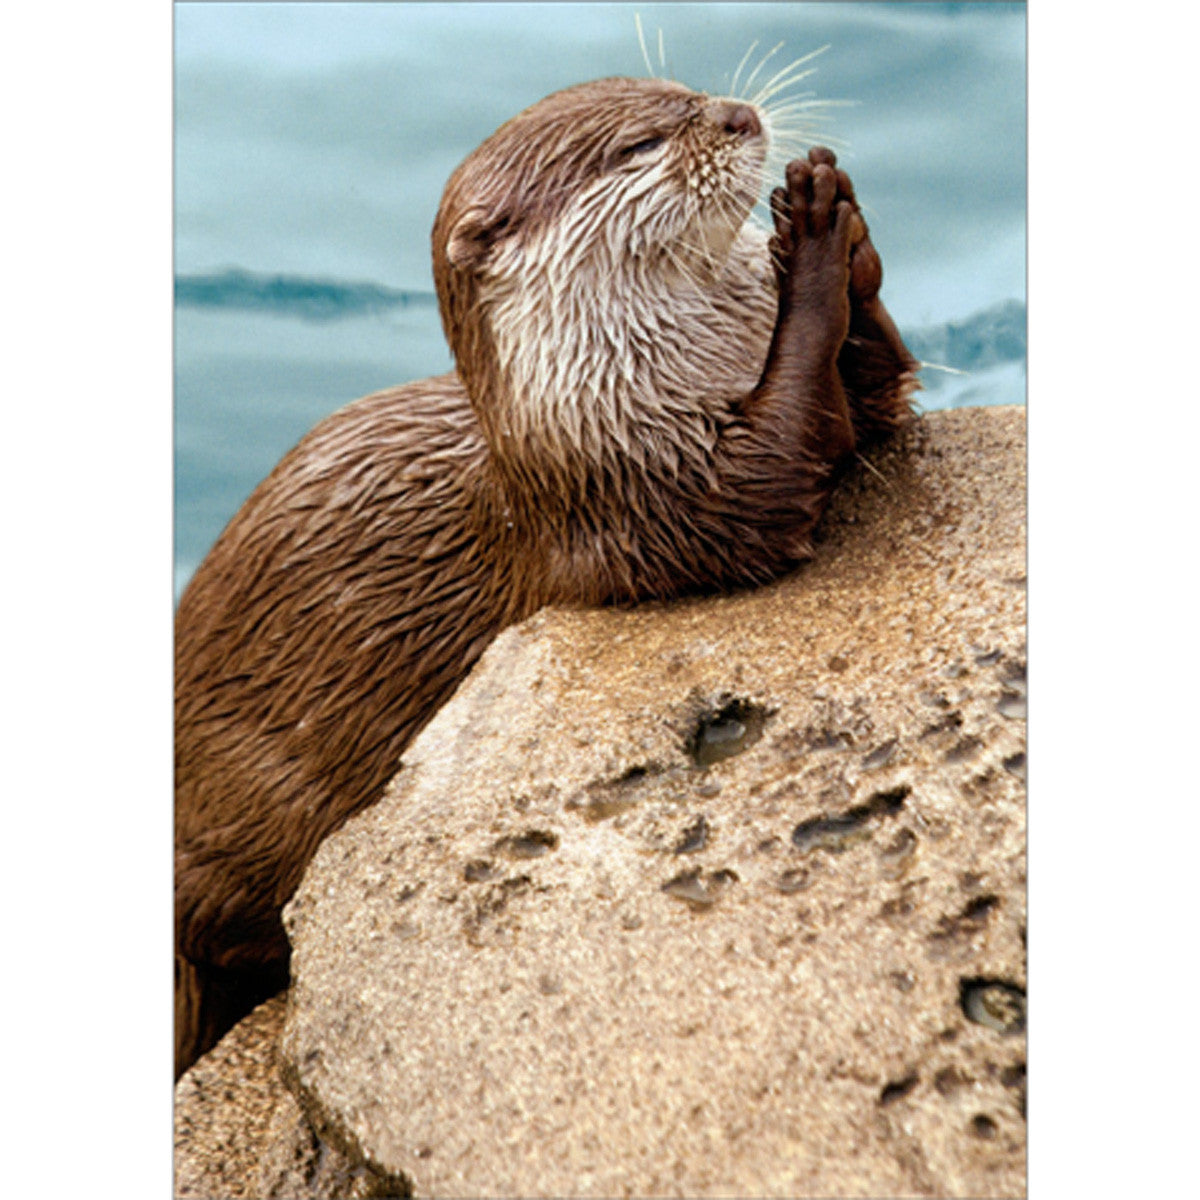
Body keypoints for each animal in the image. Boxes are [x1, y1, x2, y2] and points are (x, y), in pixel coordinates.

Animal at [175, 74, 918, 1077]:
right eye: (642, 144)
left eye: (685, 90)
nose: (737, 115)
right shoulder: (655, 489)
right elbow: (787, 455)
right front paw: (808, 242)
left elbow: (877, 393)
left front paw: (844, 224)